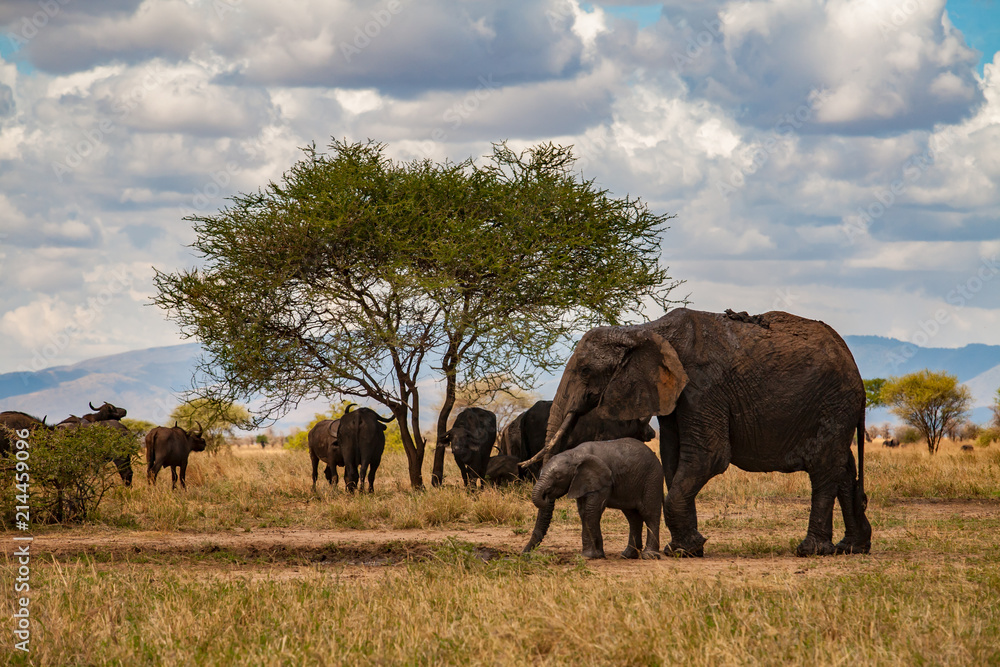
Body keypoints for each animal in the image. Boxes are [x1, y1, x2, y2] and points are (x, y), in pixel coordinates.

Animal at [523, 438, 662, 559]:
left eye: (558, 477)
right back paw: (628, 555)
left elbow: (591, 511)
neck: (574, 455)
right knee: (632, 517)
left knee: (649, 514)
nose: (523, 553)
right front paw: (596, 555)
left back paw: (649, 556)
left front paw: (589, 556)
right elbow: (583, 512)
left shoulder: (602, 482)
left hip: (652, 478)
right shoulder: (581, 482)